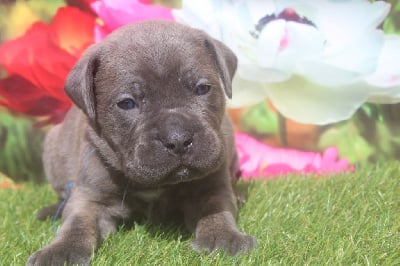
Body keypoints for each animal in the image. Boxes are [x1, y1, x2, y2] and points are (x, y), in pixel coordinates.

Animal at [26, 19, 255, 264]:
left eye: (202, 88)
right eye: (127, 103)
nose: (178, 139)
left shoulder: (211, 185)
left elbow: (216, 208)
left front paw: (222, 237)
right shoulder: (90, 195)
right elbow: (76, 222)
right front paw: (61, 250)